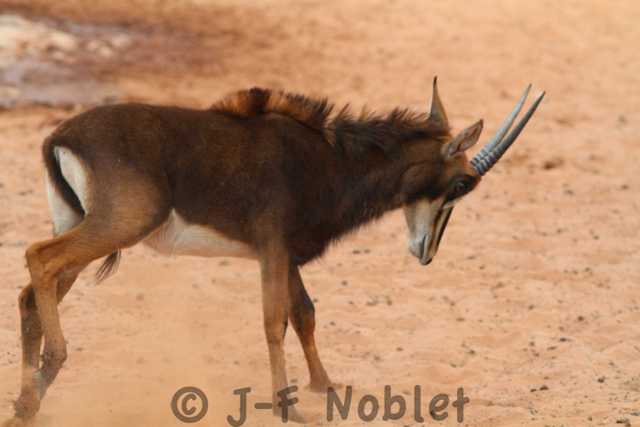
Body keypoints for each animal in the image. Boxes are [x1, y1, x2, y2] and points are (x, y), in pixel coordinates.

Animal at [4, 78, 544, 425]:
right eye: (462, 183)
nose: (426, 252)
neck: (329, 159)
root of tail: (60, 136)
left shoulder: (286, 255)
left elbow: (304, 313)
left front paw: (325, 388)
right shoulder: (271, 249)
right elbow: (274, 321)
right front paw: (286, 405)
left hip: (83, 228)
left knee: (31, 292)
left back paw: (27, 401)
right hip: (119, 226)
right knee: (39, 258)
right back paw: (50, 368)